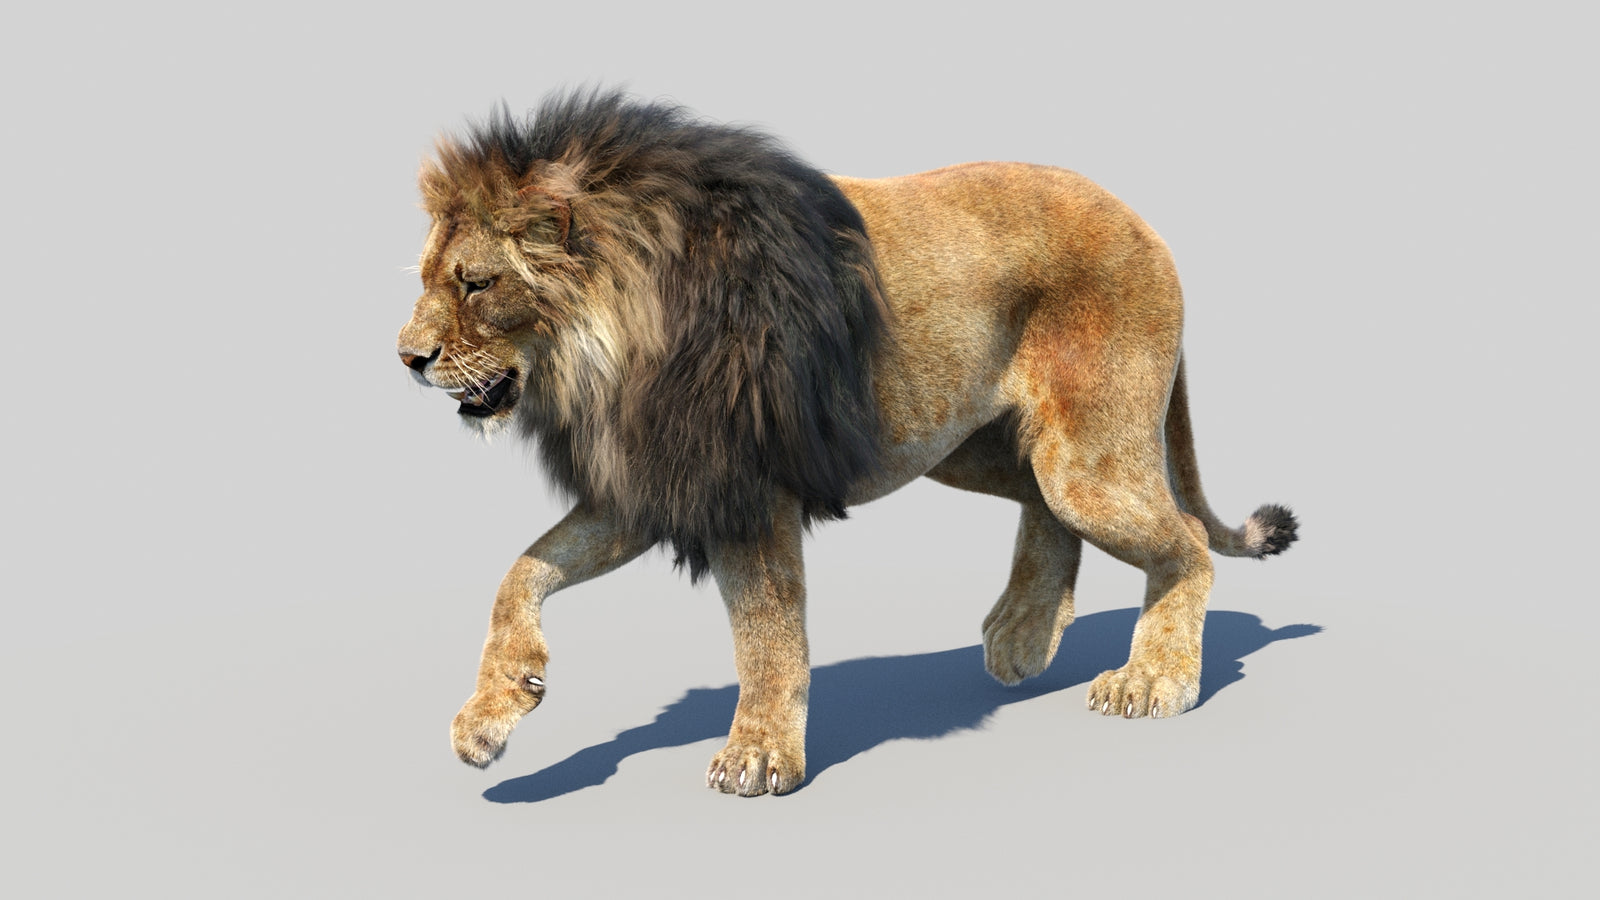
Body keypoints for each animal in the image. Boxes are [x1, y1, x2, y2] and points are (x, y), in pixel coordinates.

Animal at [397, 89, 1298, 797]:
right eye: (428, 279)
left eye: (477, 283)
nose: (406, 357)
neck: (602, 352)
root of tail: (1143, 221)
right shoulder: (656, 480)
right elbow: (522, 572)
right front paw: (491, 714)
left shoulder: (747, 487)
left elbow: (767, 633)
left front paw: (760, 756)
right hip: (967, 444)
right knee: (1048, 509)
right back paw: (1026, 634)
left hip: (1084, 459)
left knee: (1186, 541)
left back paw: (1155, 678)